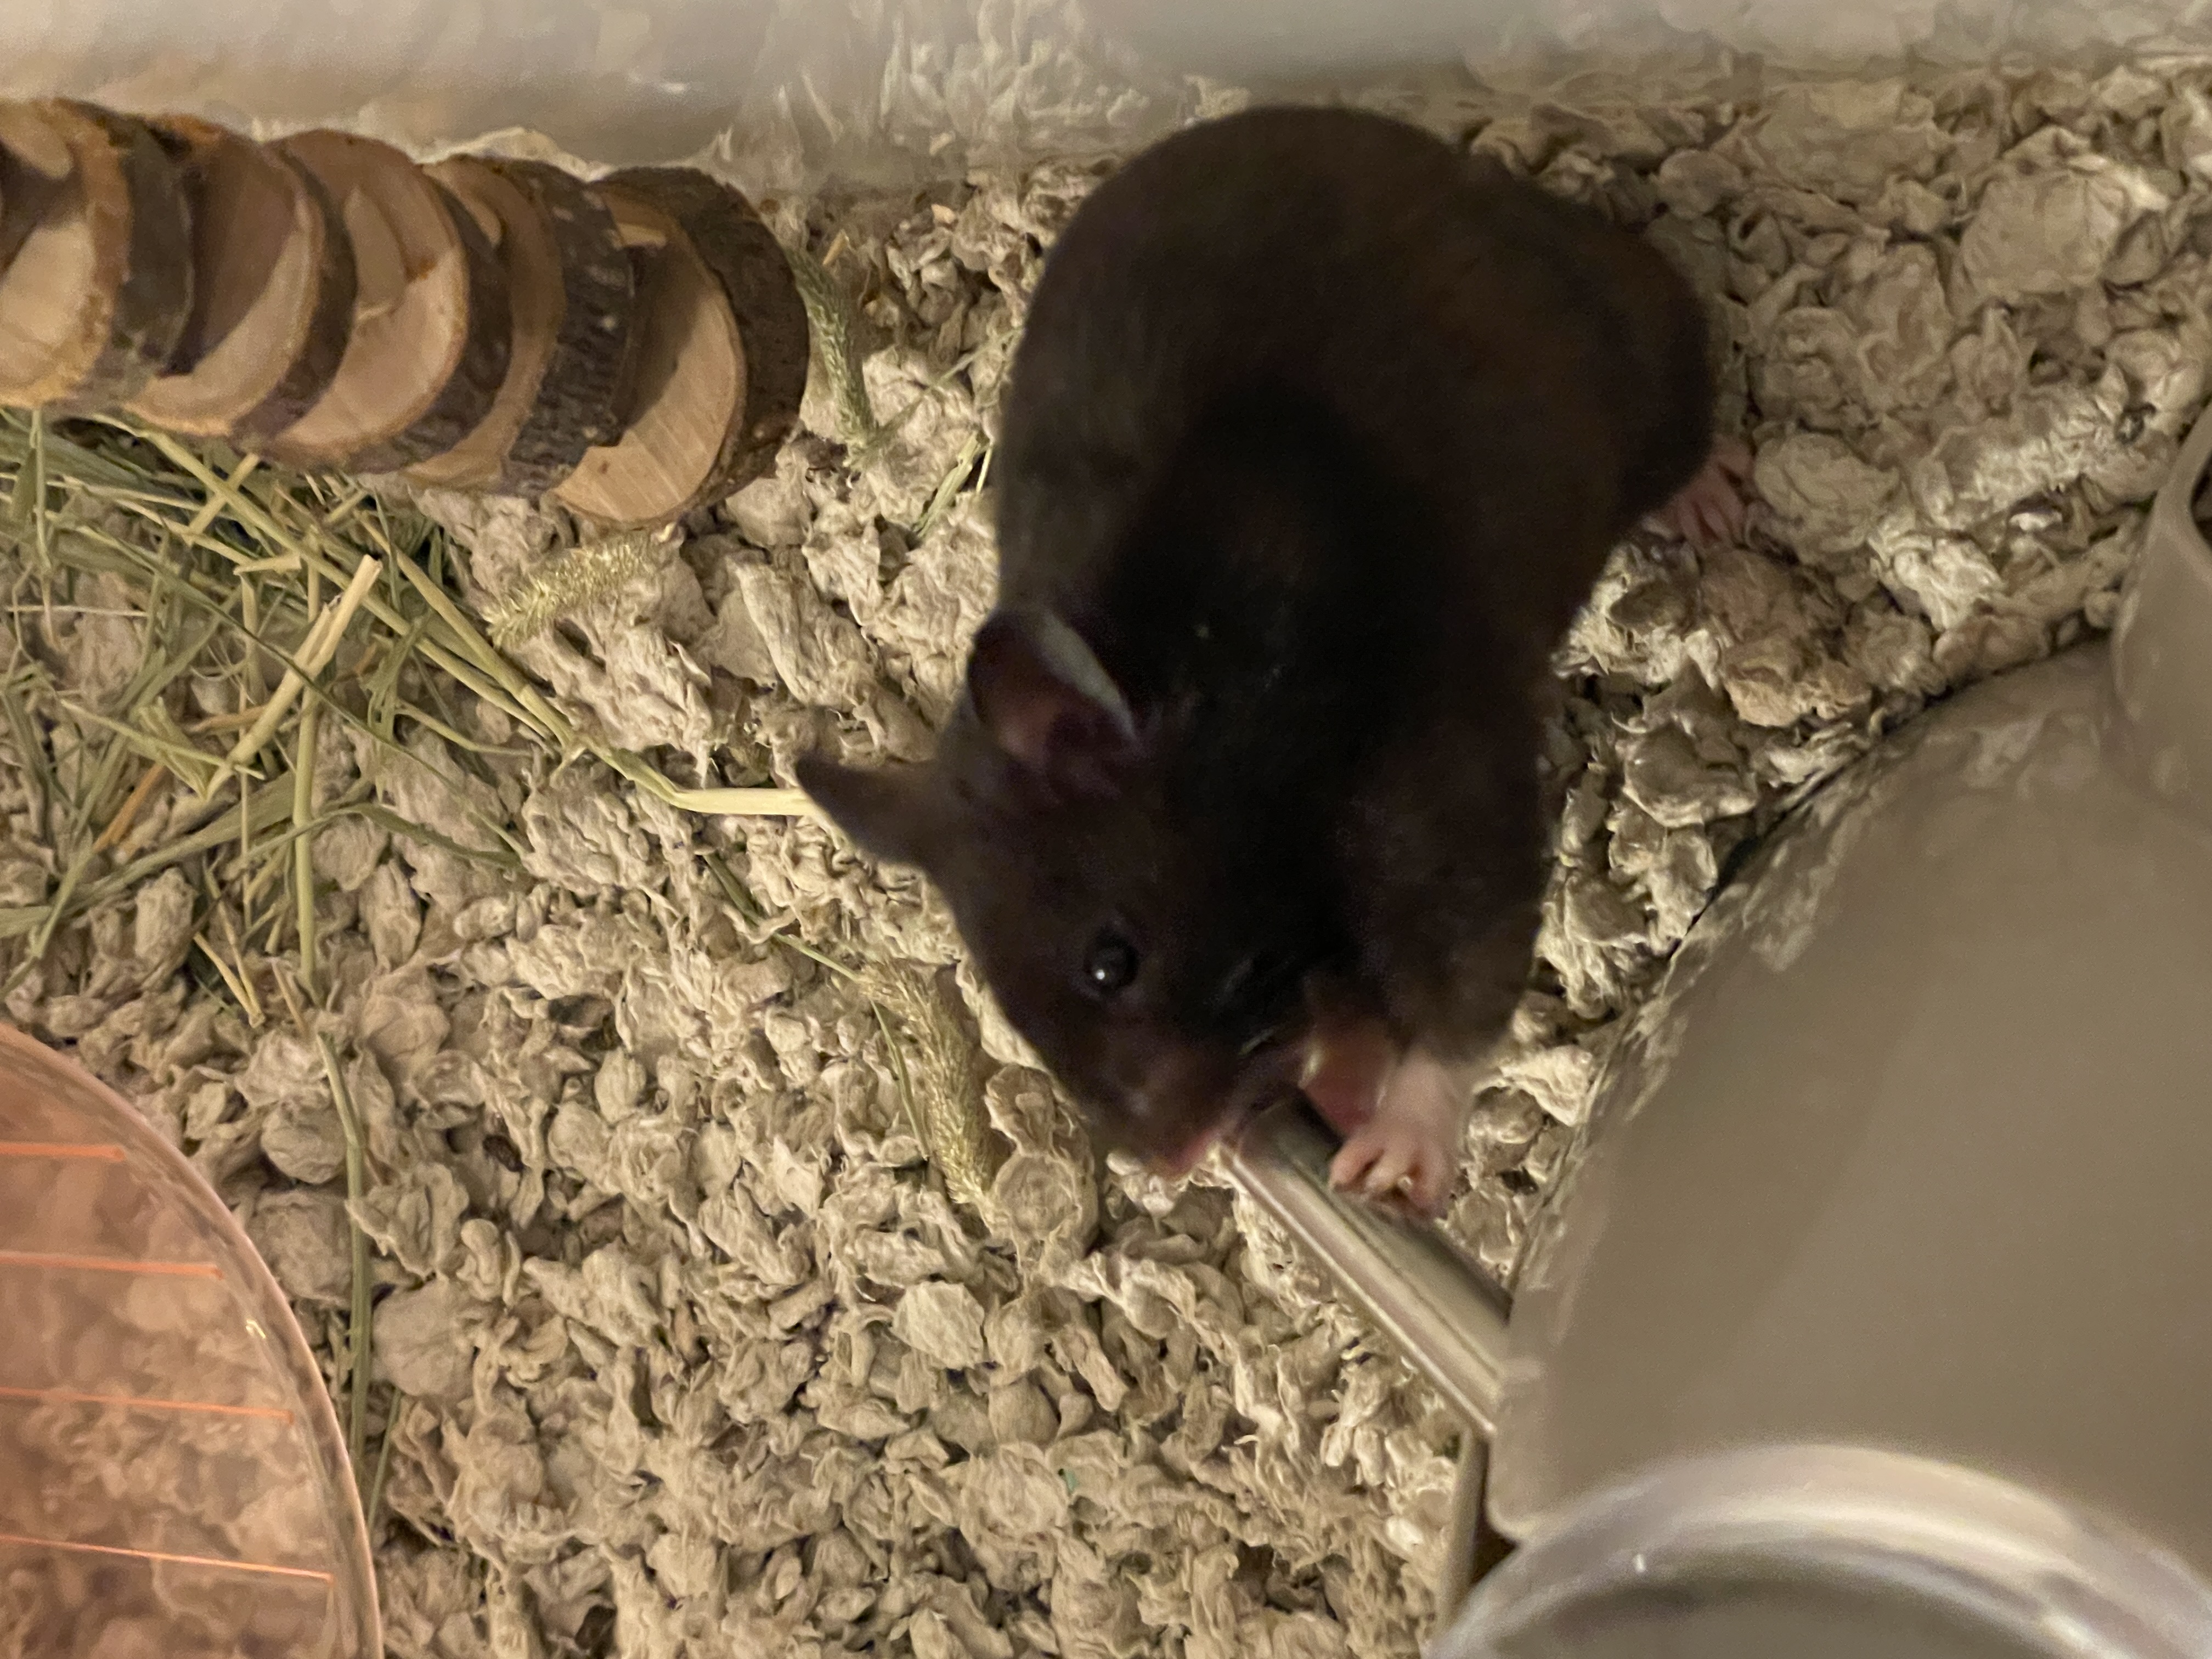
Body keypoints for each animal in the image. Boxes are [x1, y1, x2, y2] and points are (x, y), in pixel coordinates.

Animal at [800, 106, 1742, 1215]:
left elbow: (1458, 982)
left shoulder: (1434, 784)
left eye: (1110, 963)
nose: (1172, 1162)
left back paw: (1716, 506)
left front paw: (1383, 1168)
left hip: (1645, 356)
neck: (1216, 691)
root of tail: (1472, 170)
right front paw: (1335, 1084)